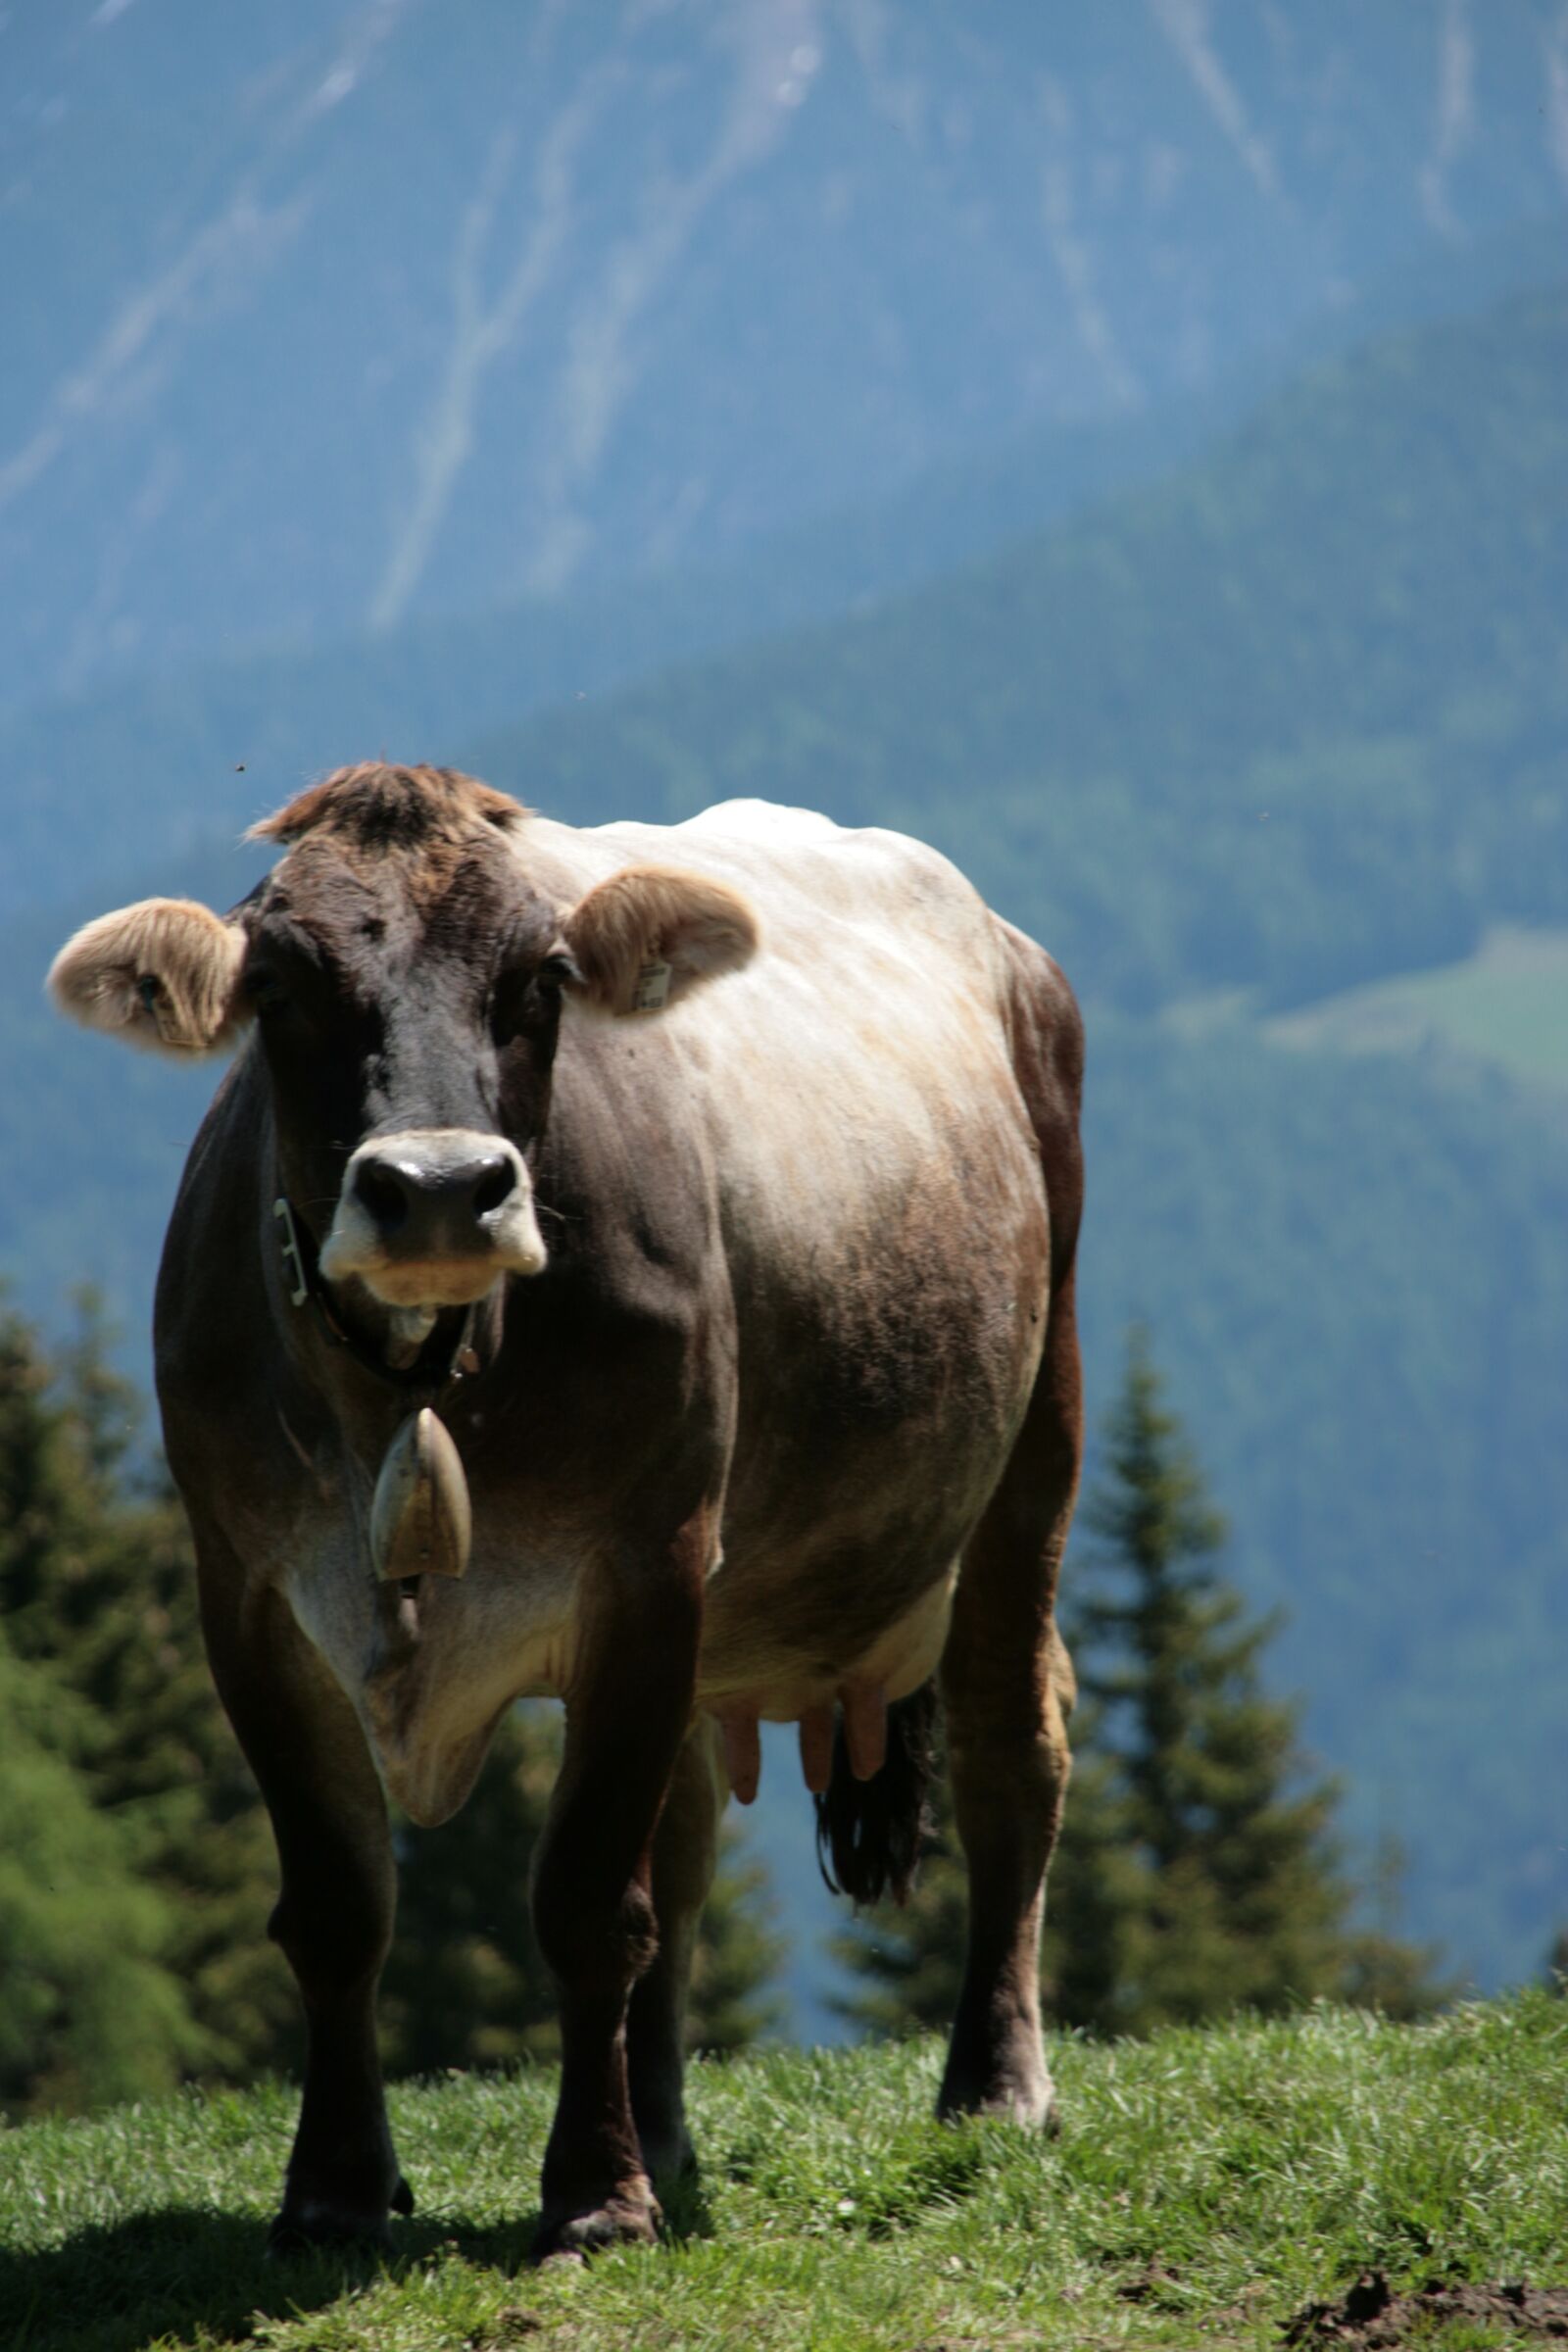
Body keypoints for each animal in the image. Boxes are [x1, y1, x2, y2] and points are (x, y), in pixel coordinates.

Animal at [48, 764, 1083, 2260]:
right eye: (280, 984)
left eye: (540, 977)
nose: (435, 1189)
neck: (413, 1385)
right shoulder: (242, 1590)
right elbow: (340, 1905)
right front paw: (337, 2188)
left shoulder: (644, 1562)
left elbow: (592, 1897)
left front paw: (596, 2193)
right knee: (688, 1844)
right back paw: (660, 2118)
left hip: (1030, 1439)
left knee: (1015, 1744)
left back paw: (994, 2085)